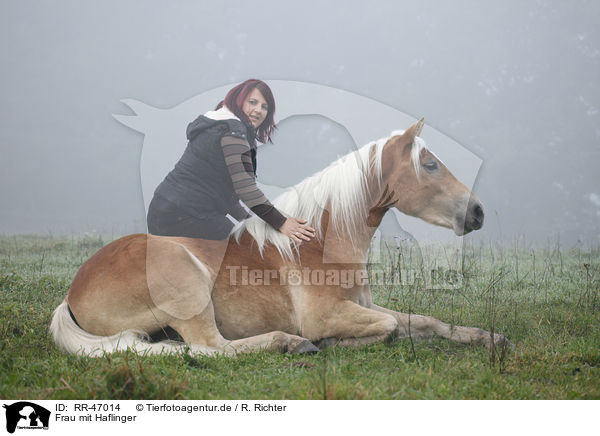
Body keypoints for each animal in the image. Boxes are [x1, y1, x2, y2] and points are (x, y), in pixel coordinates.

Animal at [49, 117, 506, 356]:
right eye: (429, 165)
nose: (478, 212)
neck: (320, 243)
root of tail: (72, 294)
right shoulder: (328, 314)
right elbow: (391, 326)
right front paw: (332, 342)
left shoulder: (362, 305)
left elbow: (427, 322)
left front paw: (488, 337)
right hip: (187, 288)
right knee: (209, 348)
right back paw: (293, 343)